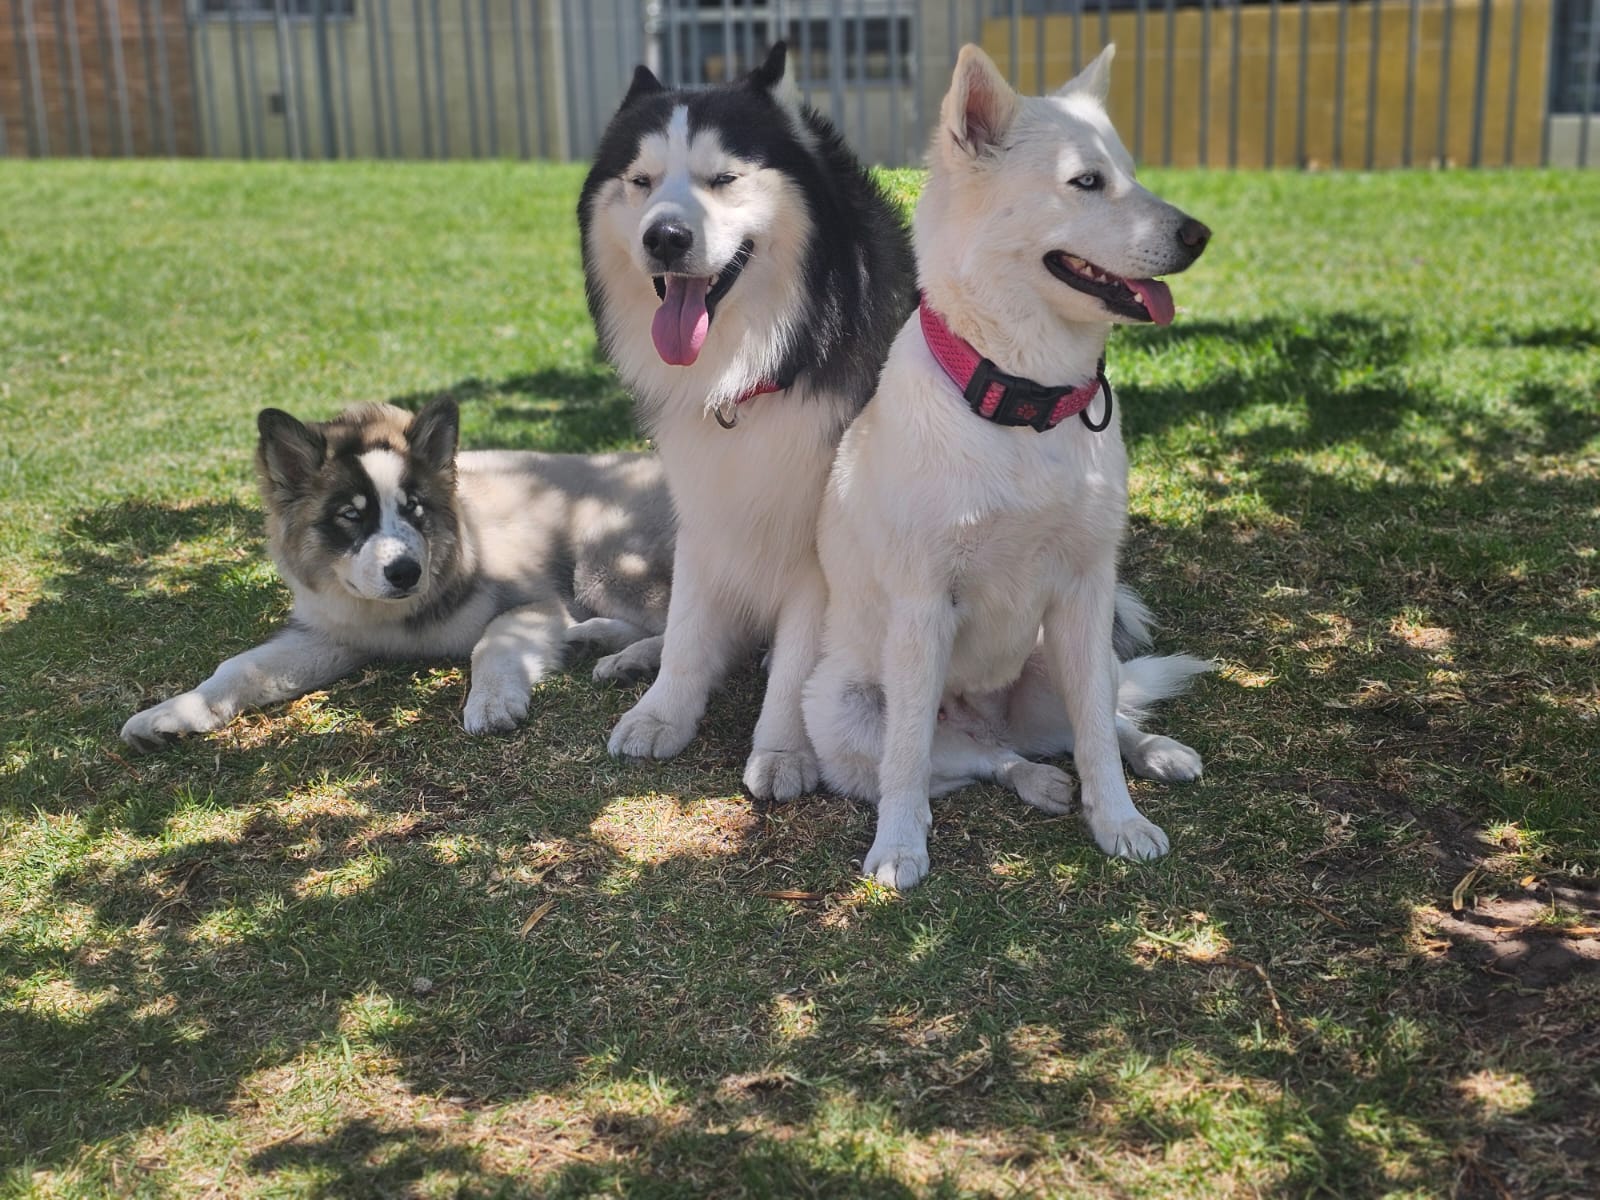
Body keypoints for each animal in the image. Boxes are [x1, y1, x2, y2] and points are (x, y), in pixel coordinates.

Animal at [121, 396, 672, 752]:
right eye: (350, 515)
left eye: (415, 508)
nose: (406, 572)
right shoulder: (333, 634)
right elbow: (241, 667)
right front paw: (174, 712)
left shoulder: (534, 601)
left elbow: (491, 643)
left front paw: (492, 701)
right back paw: (594, 641)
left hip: (602, 556)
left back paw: (631, 659)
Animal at [800, 44, 1209, 896]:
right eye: (1086, 181)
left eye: (1131, 173)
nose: (1199, 234)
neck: (1025, 402)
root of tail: (991, 712)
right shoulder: (922, 609)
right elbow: (908, 759)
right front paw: (899, 844)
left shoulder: (1086, 591)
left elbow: (1097, 738)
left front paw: (1117, 821)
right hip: (840, 708)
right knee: (974, 759)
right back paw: (1032, 779)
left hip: (1067, 654)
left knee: (1099, 718)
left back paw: (1152, 752)